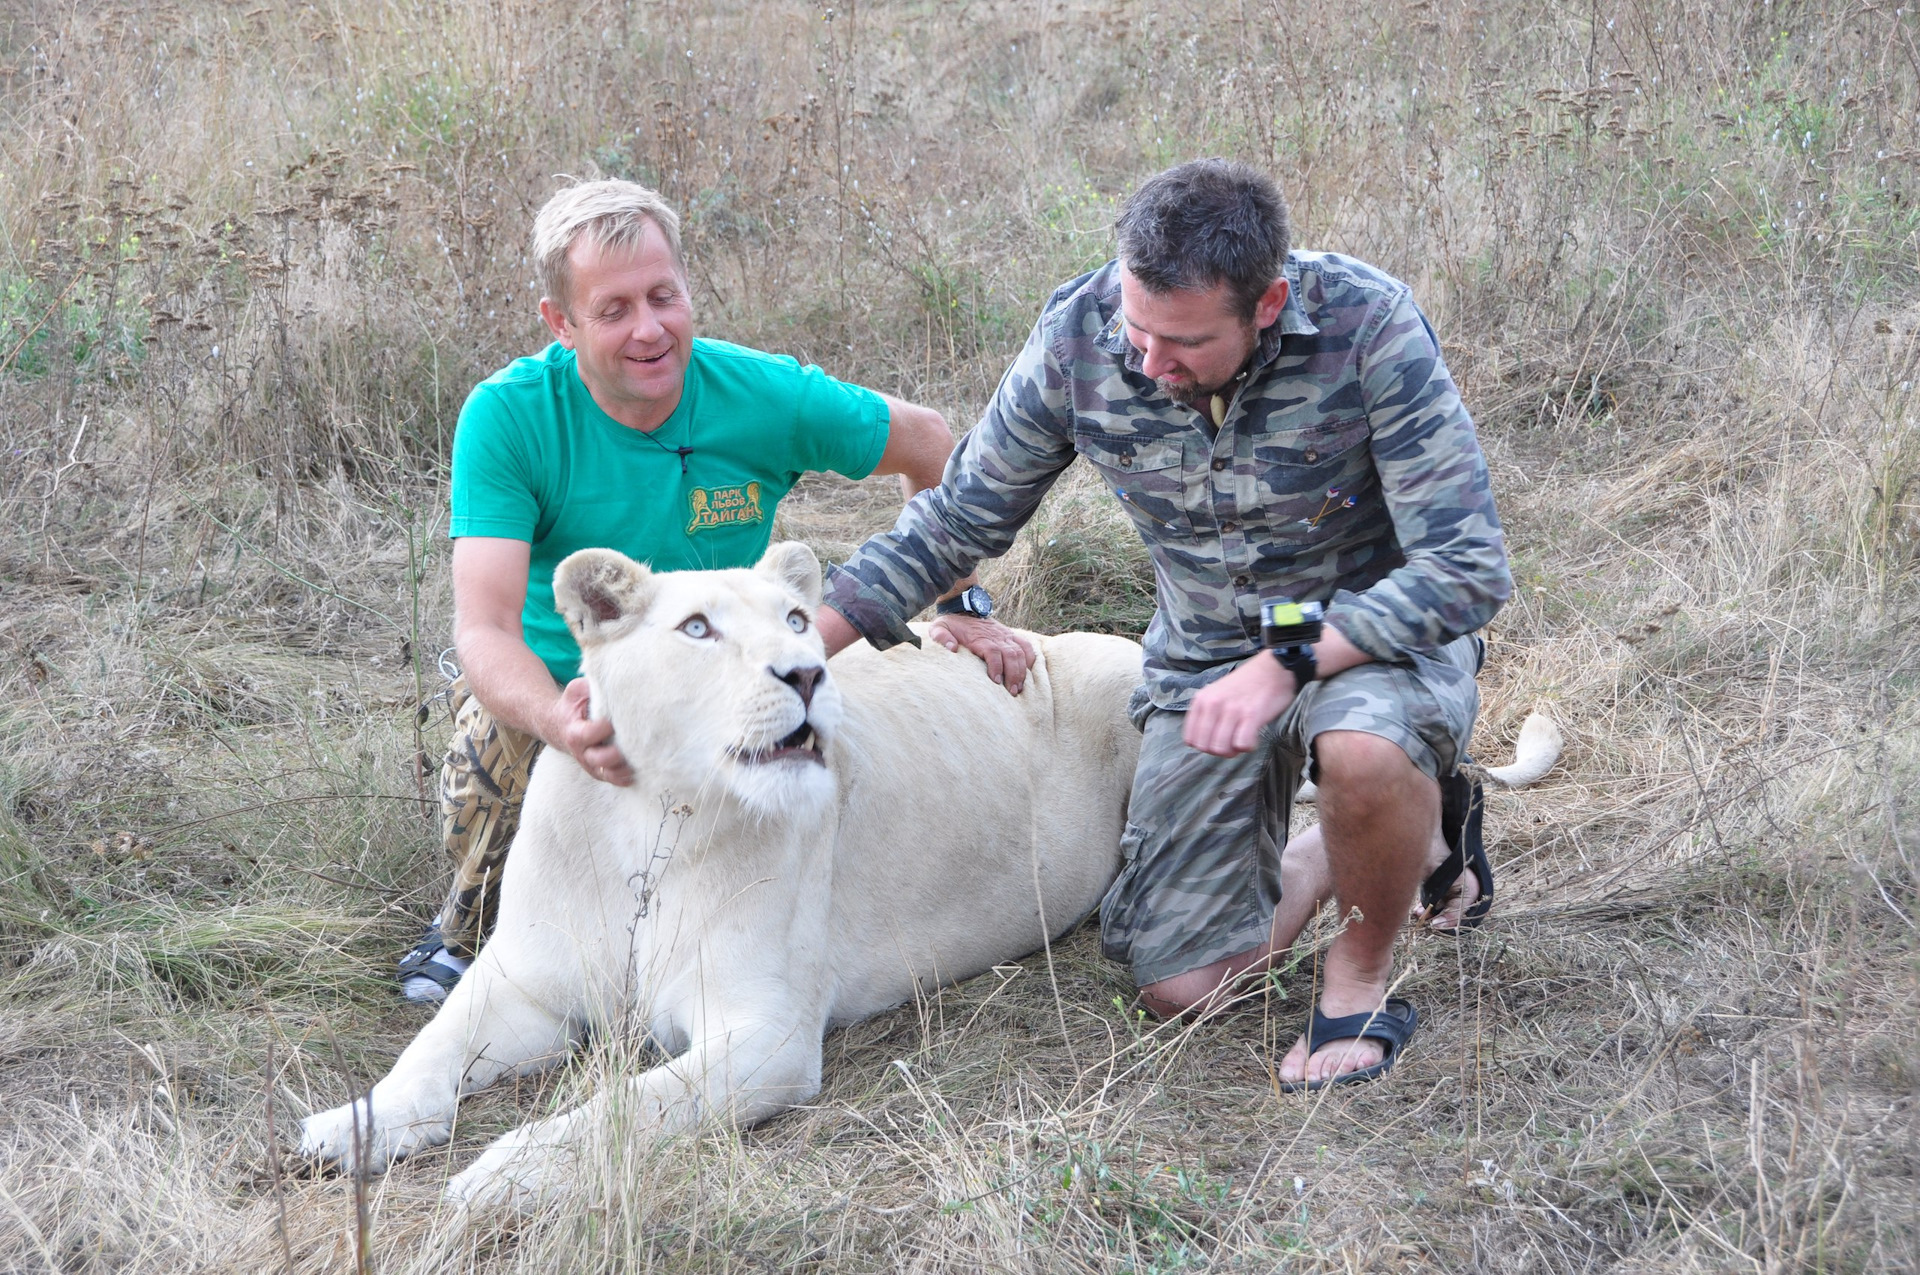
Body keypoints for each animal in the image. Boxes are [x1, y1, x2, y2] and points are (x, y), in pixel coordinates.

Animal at [291, 541, 1144, 1205]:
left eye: (797, 620)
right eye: (697, 627)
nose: (807, 674)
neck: (650, 819)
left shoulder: (767, 1033)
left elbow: (624, 1108)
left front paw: (503, 1174)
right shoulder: (526, 980)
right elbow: (429, 1048)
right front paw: (347, 1127)